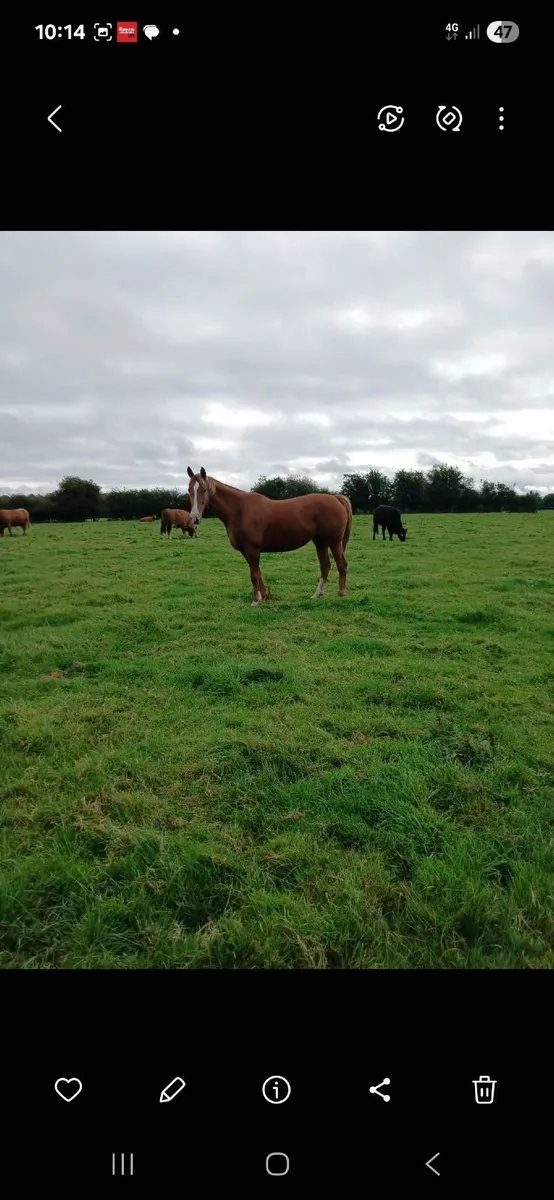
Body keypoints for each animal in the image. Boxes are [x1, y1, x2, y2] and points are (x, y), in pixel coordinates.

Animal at [186, 466, 352, 606]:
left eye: (204, 490)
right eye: (189, 490)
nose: (194, 517)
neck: (239, 510)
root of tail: (336, 498)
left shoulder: (252, 549)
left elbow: (254, 575)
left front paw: (255, 600)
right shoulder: (246, 551)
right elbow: (258, 573)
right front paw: (264, 596)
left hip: (334, 541)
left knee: (341, 564)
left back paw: (341, 593)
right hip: (320, 541)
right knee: (325, 566)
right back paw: (317, 595)